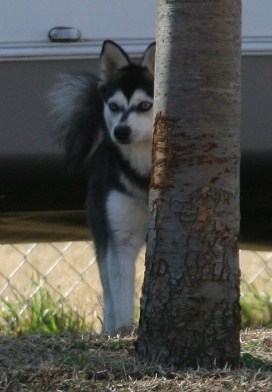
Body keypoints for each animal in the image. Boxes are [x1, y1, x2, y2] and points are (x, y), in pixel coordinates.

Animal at [49, 39, 155, 334]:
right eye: (114, 106)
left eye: (145, 105)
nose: (120, 131)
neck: (142, 171)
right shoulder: (120, 236)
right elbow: (119, 292)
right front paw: (124, 331)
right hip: (101, 225)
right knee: (107, 285)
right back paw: (109, 330)